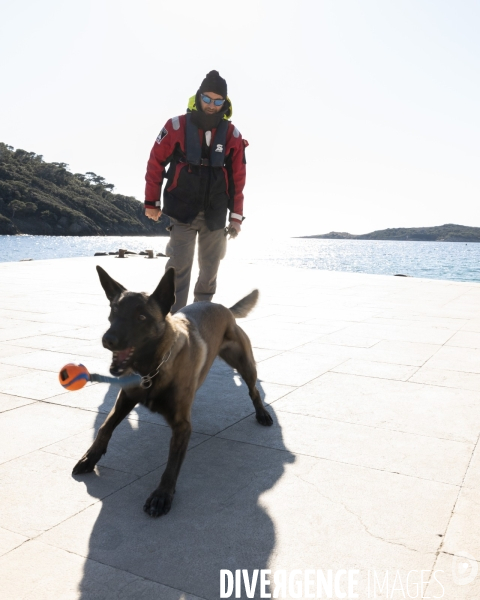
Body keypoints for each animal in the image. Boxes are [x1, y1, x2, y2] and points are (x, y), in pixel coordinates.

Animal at [72, 266, 272, 516]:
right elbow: (105, 427)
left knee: (254, 391)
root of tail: (224, 308)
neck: (151, 370)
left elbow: (172, 463)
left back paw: (262, 413)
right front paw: (90, 458)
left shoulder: (182, 426)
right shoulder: (125, 399)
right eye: (113, 311)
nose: (108, 339)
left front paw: (162, 494)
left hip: (245, 364)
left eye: (141, 317)